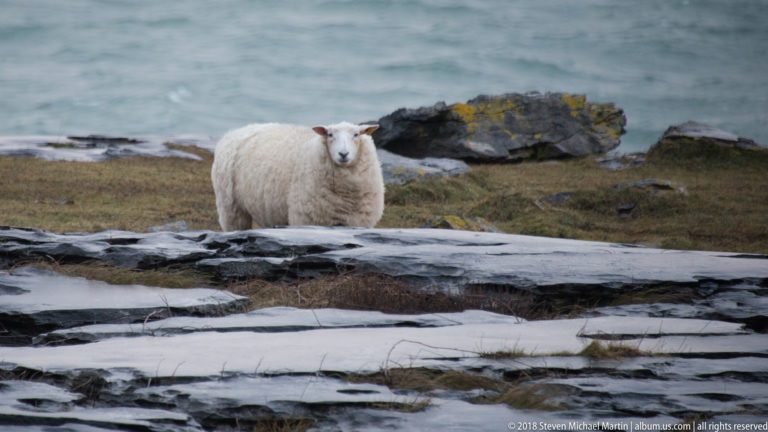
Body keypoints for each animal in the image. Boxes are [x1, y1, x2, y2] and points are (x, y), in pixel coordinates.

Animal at [211, 121, 384, 231]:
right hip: (230, 206)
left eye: (356, 134)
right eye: (329, 134)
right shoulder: (306, 219)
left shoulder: (358, 221)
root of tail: (235, 131)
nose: (343, 154)